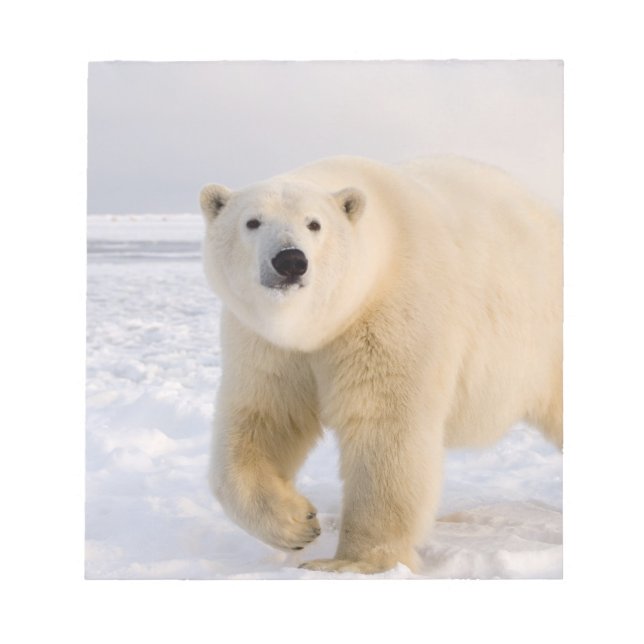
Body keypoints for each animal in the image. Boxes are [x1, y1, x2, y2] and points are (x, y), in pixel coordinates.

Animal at [200, 155, 562, 574]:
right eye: (252, 222)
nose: (290, 260)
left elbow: (384, 427)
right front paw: (298, 523)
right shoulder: (267, 345)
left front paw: (350, 563)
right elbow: (264, 418)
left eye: (314, 223)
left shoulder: (392, 315)